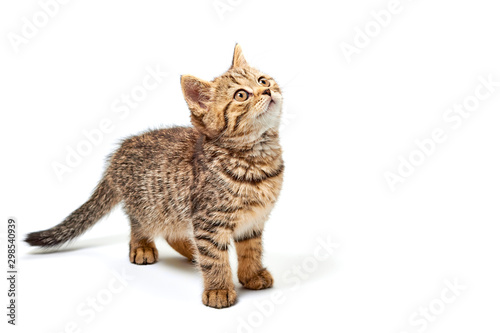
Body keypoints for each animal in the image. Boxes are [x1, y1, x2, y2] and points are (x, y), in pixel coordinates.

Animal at [26, 44, 286, 308]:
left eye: (262, 80)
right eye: (241, 95)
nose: (267, 90)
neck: (257, 159)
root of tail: (119, 152)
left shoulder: (253, 221)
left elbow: (251, 250)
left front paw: (251, 275)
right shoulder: (208, 221)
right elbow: (214, 258)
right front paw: (219, 289)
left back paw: (190, 252)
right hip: (149, 205)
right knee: (139, 224)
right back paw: (143, 247)